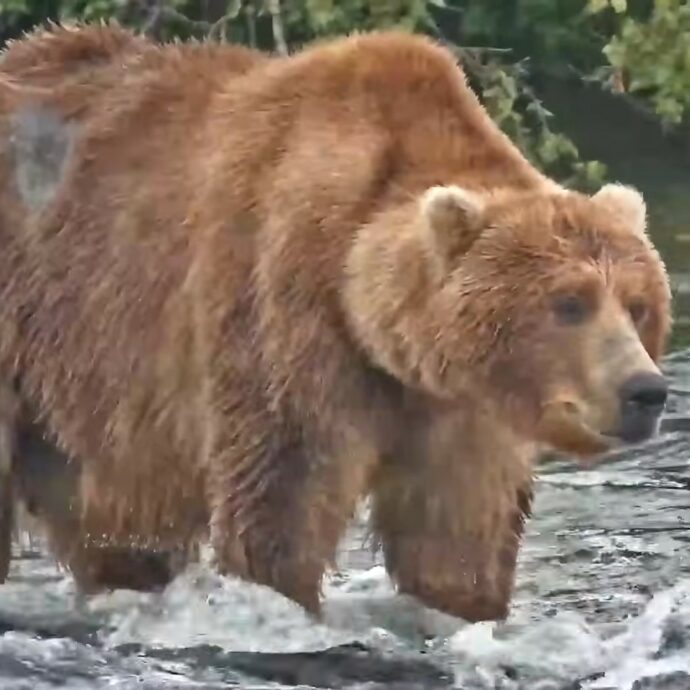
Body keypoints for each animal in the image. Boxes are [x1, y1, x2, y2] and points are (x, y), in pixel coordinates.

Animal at [0, 24, 671, 622]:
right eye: (569, 302)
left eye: (638, 305)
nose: (645, 390)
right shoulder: (282, 309)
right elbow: (284, 492)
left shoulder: (457, 408)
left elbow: (456, 526)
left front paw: (463, 603)